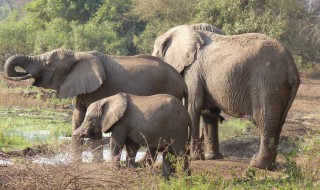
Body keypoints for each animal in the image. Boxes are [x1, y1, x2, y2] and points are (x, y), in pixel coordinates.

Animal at [3, 49, 188, 162]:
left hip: (167, 90)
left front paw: (96, 164)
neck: (77, 55)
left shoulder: (101, 89)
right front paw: (75, 165)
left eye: (48, 64)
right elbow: (78, 118)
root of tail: (183, 82)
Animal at [152, 23, 300, 170]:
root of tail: (292, 68)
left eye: (156, 54)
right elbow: (209, 113)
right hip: (279, 89)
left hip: (267, 84)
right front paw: (211, 157)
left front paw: (195, 158)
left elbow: (193, 108)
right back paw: (271, 164)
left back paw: (257, 164)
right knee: (279, 122)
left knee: (265, 121)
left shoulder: (193, 70)